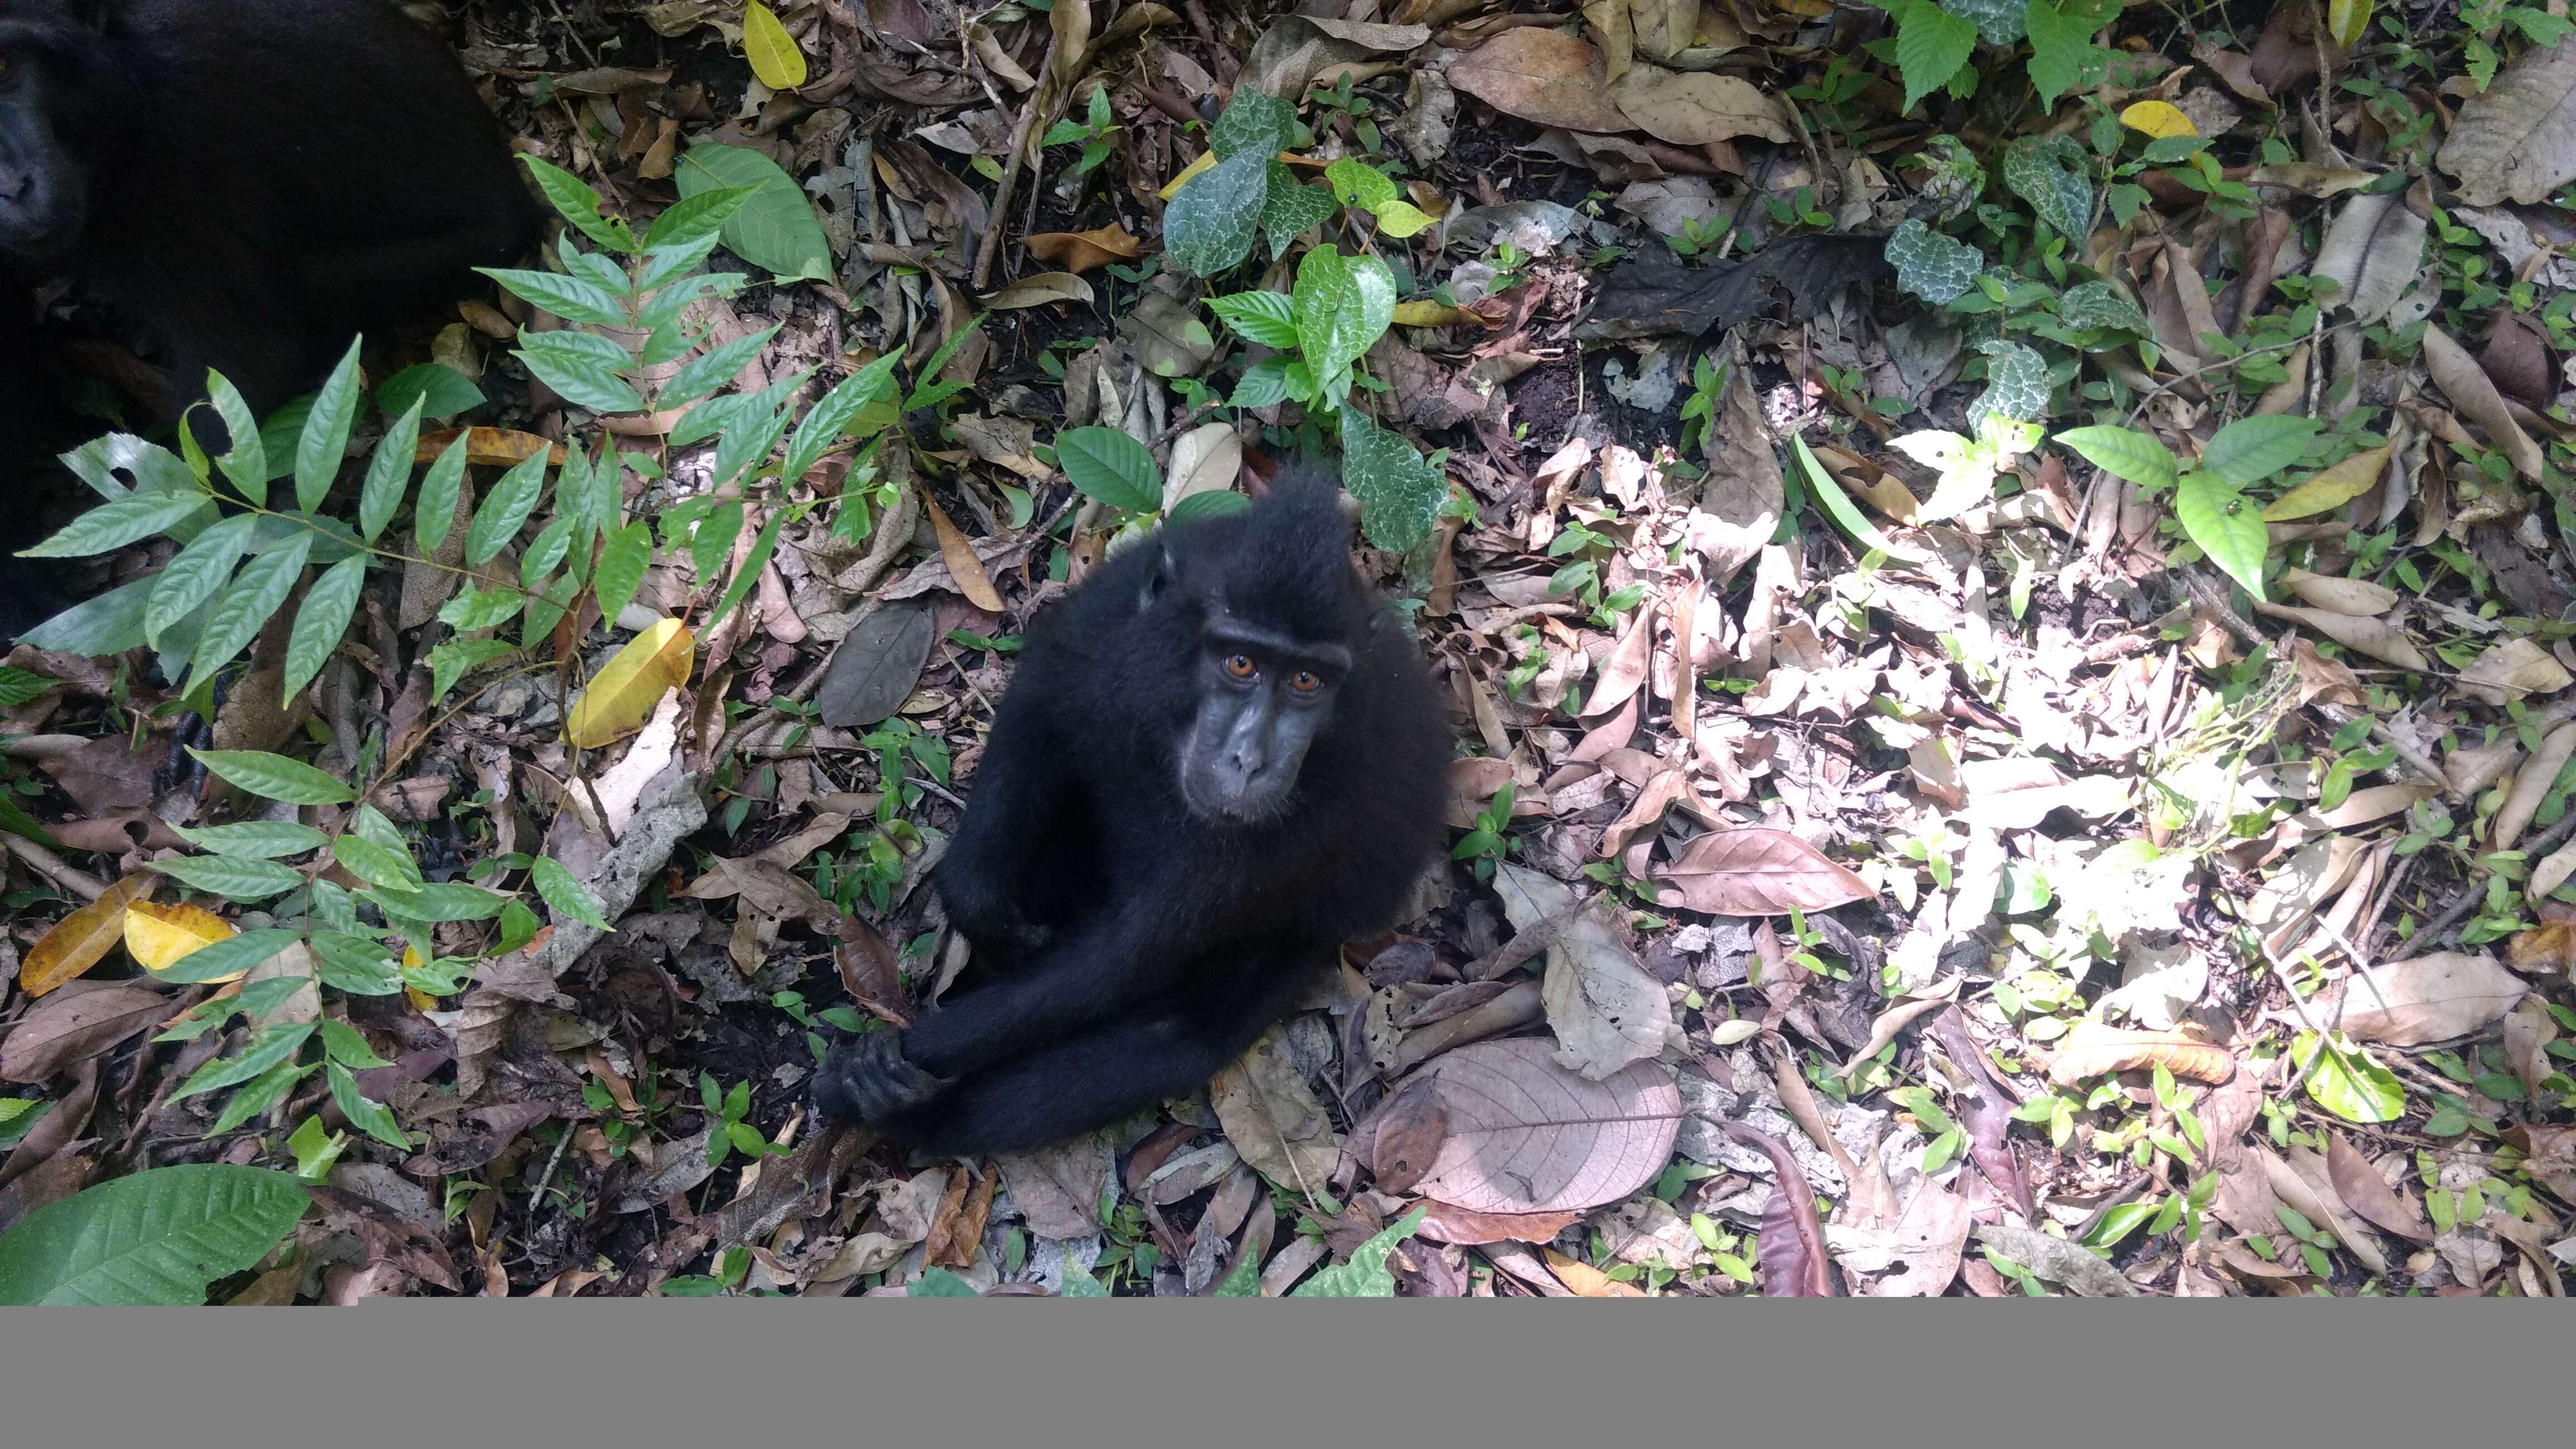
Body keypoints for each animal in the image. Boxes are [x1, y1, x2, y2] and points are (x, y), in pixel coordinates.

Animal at [808, 472, 1452, 1149]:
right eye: (1241, 662)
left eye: (1308, 681)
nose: (1250, 760)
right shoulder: (1108, 618)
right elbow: (1039, 704)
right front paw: (980, 904)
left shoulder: (1284, 839)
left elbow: (1113, 965)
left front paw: (859, 1080)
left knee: (1170, 1042)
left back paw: (918, 1117)